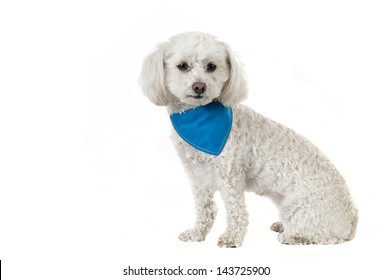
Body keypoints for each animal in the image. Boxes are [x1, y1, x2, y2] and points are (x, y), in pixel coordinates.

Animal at [139, 32, 356, 247]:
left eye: (212, 66)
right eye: (182, 66)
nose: (199, 86)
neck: (197, 120)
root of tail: (353, 218)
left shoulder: (230, 175)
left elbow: (236, 210)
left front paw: (231, 238)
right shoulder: (197, 176)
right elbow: (204, 209)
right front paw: (197, 234)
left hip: (302, 209)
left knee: (326, 237)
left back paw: (292, 236)